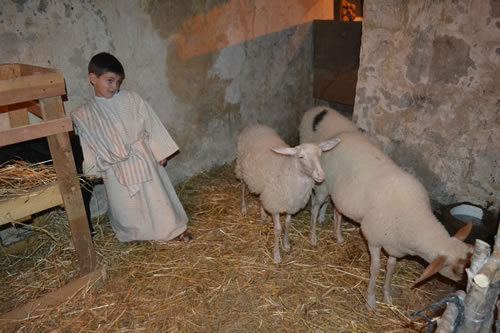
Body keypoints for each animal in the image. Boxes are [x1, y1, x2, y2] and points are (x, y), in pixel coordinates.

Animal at [236, 124, 342, 262]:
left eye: (320, 154)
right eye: (301, 157)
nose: (320, 175)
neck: (288, 170)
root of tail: (255, 126)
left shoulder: (290, 205)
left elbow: (287, 223)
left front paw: (286, 245)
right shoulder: (275, 204)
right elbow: (277, 229)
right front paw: (276, 255)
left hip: (262, 185)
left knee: (261, 197)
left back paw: (263, 214)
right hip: (241, 169)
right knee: (243, 187)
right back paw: (244, 208)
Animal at [300, 106, 472, 308]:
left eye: (468, 258)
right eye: (456, 269)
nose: (466, 285)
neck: (415, 218)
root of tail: (339, 135)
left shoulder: (395, 246)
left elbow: (390, 268)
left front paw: (388, 295)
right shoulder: (374, 239)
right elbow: (375, 268)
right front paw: (371, 300)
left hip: (341, 194)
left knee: (338, 211)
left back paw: (339, 236)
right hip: (323, 187)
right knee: (315, 208)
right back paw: (313, 237)